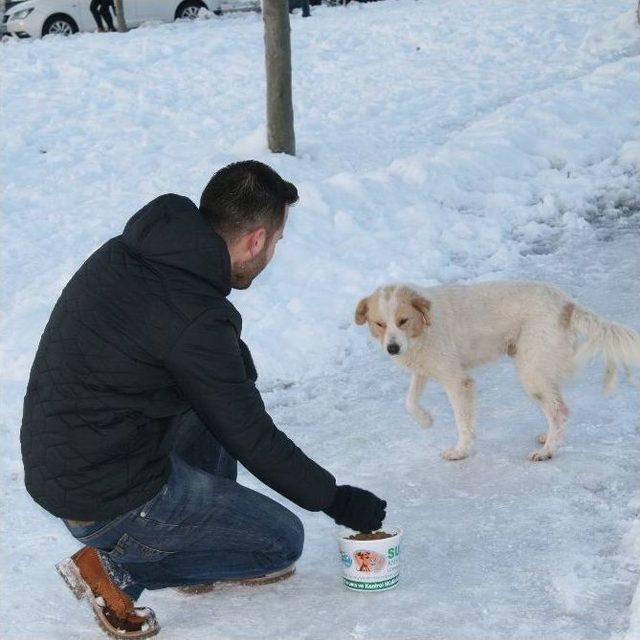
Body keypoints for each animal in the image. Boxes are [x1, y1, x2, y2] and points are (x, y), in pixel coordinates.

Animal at [356, 282, 640, 460]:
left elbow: (463, 422)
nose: (392, 348)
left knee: (559, 411)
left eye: (402, 321)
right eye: (379, 324)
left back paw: (548, 451)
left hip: (530, 371)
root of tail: (565, 303)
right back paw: (550, 438)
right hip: (539, 370)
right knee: (558, 408)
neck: (425, 326)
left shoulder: (458, 381)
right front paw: (426, 420)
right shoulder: (424, 369)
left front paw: (461, 451)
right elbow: (409, 402)